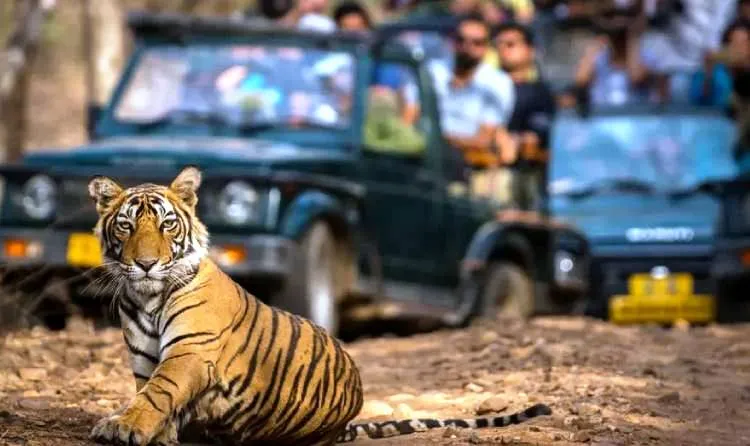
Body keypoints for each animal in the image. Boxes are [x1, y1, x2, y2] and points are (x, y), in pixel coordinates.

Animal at [87, 166, 552, 446]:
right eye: (126, 226)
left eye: (167, 224)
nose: (146, 264)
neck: (147, 297)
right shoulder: (144, 357)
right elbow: (150, 393)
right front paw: (154, 432)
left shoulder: (190, 351)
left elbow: (158, 393)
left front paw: (123, 426)